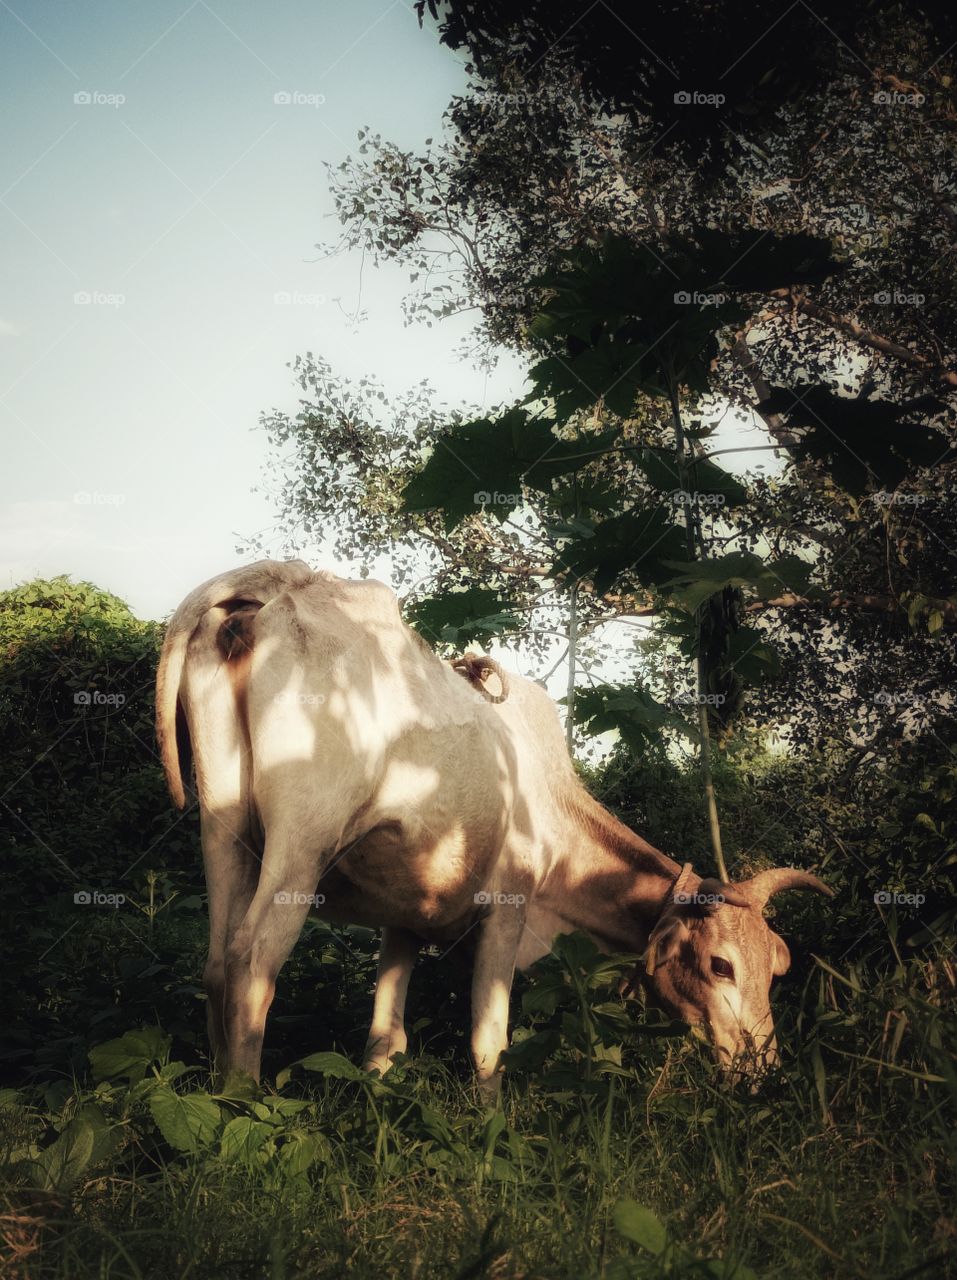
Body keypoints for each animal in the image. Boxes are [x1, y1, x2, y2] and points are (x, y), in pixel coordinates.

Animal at [156, 559, 831, 1092]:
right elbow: (489, 1045)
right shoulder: (507, 908)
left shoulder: (406, 920)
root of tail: (274, 581)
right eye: (721, 965)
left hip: (223, 828)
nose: (762, 1069)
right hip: (303, 843)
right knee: (251, 963)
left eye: (777, 966)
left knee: (215, 963)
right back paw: (245, 1101)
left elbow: (385, 1043)